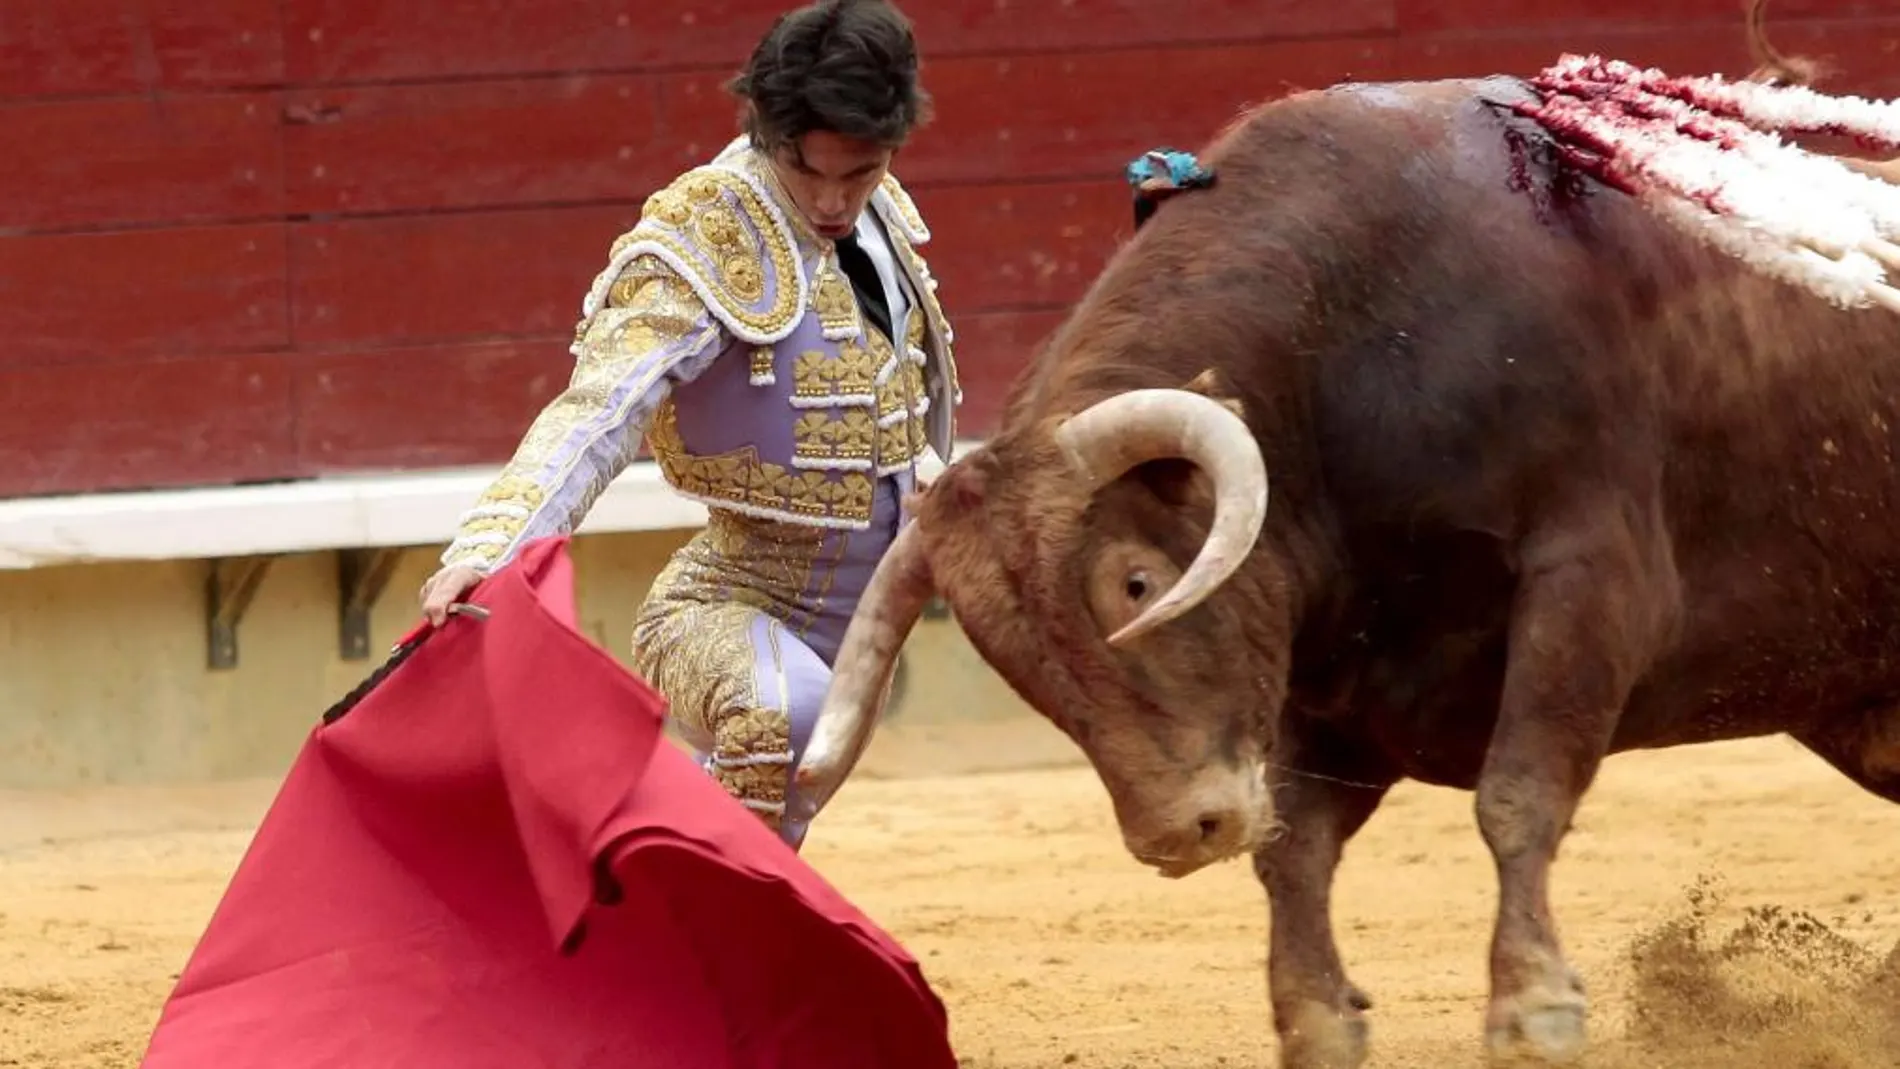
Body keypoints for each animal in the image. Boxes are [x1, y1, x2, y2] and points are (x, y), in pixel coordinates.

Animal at [786, 60, 1900, 1069]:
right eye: (1014, 660)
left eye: (1137, 584)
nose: (1183, 830)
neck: (1354, 353)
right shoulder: (1319, 673)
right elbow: (1295, 847)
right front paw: (1318, 1018)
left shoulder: (1584, 580)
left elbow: (1517, 795)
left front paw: (1531, 1008)